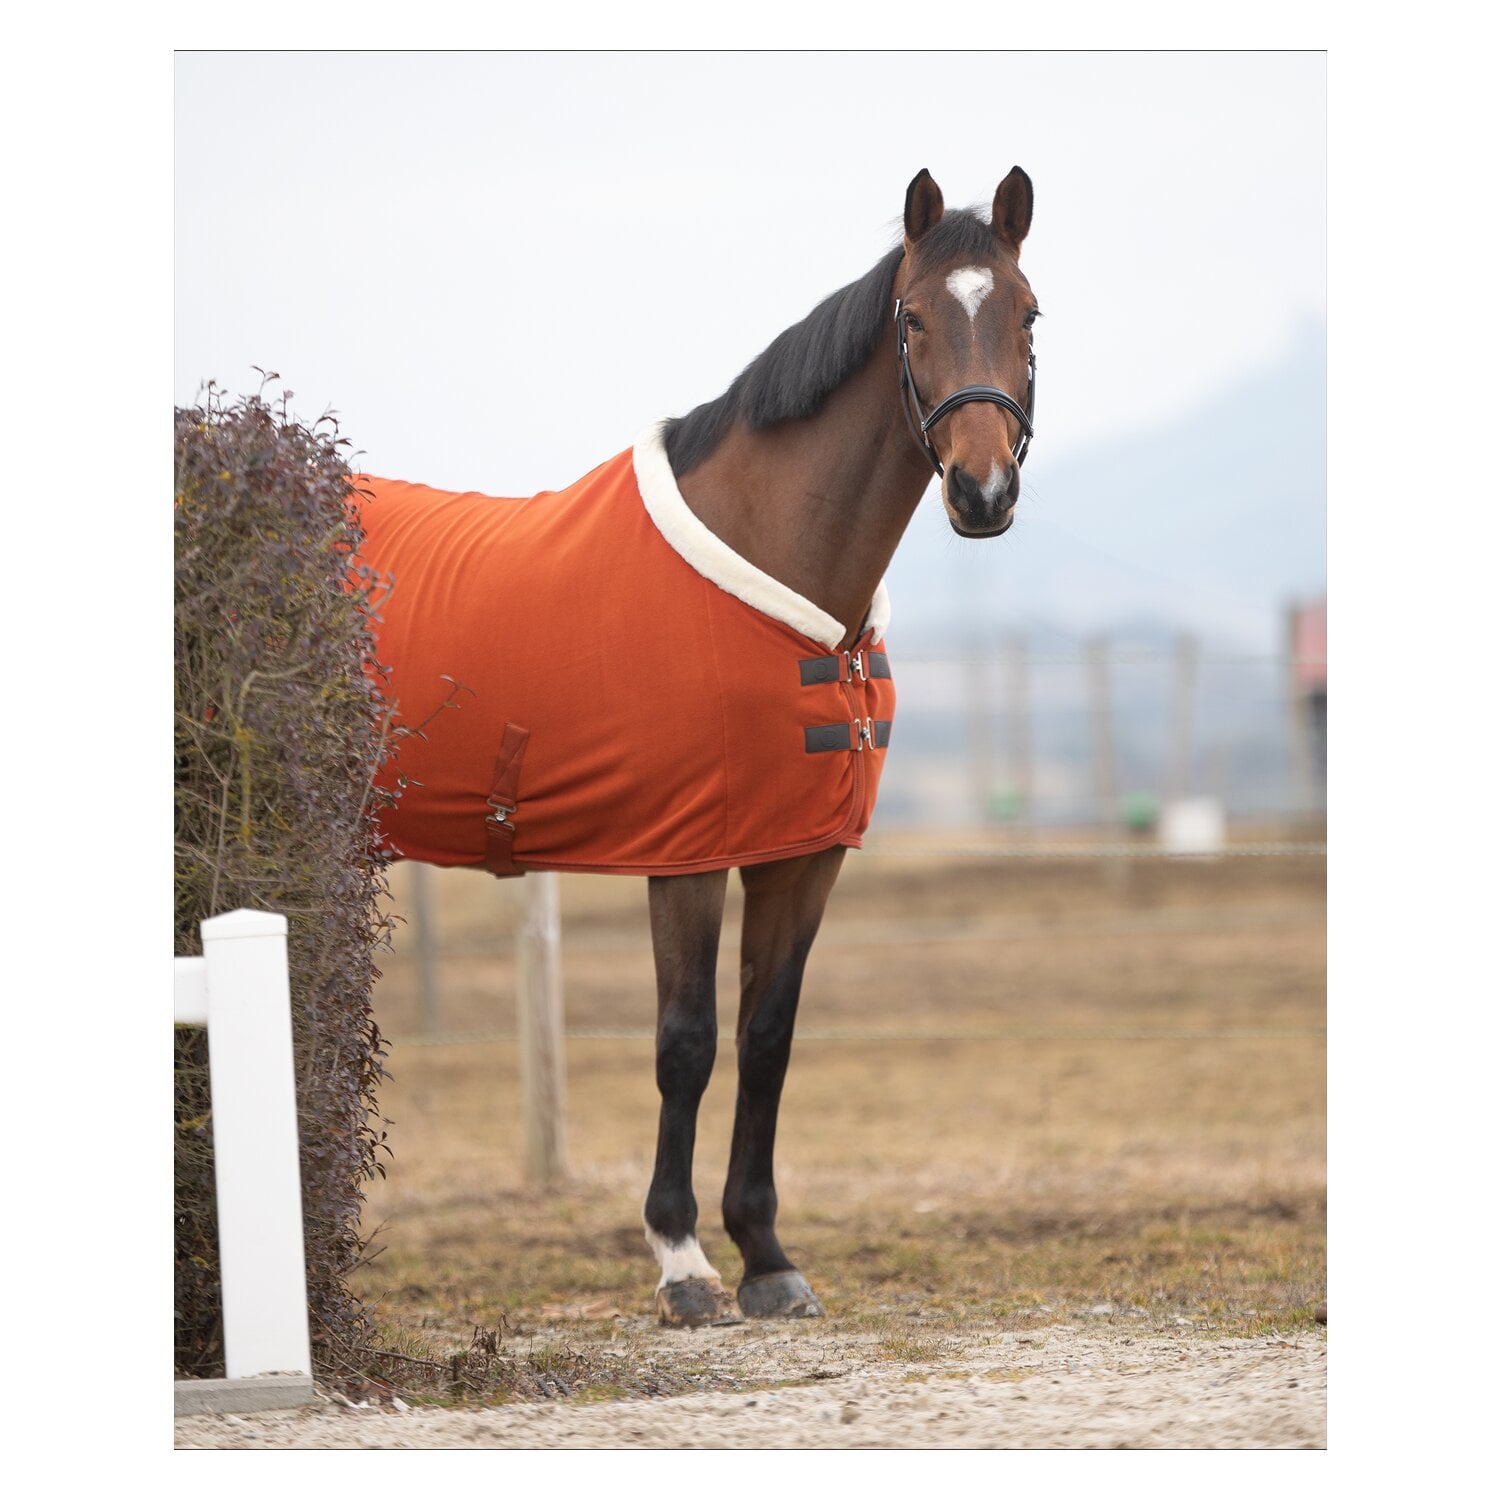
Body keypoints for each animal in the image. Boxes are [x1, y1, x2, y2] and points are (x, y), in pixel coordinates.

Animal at [354, 167, 1040, 1327]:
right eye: (911, 318)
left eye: (1029, 314)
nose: (981, 491)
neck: (777, 570)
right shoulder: (686, 851)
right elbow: (687, 1042)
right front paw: (682, 1262)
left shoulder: (801, 853)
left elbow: (767, 1039)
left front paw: (765, 1253)